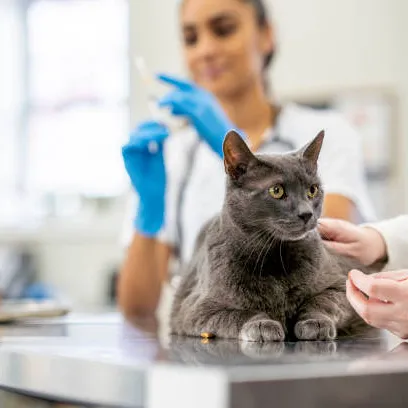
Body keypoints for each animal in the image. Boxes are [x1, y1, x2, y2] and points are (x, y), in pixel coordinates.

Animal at [169, 131, 376, 342]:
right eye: (276, 190)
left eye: (312, 190)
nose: (306, 213)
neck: (275, 257)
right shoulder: (194, 309)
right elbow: (238, 313)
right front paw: (262, 324)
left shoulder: (340, 285)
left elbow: (323, 301)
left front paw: (315, 322)